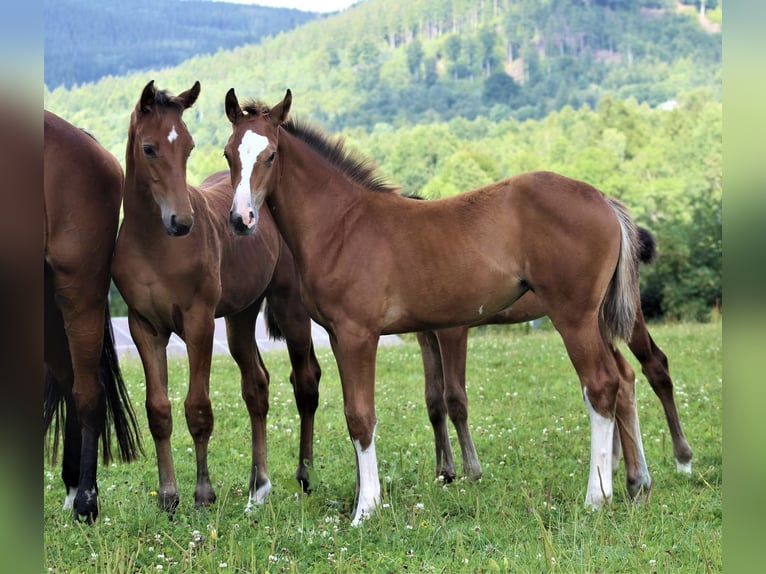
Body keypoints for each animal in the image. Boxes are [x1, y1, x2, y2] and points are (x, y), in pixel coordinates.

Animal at [111, 81, 321, 512]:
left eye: (189, 147)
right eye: (149, 148)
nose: (182, 221)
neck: (154, 245)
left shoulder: (199, 322)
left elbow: (198, 408)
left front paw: (203, 493)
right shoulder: (145, 327)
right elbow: (159, 410)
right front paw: (168, 495)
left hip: (290, 308)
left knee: (306, 382)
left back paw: (304, 473)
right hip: (241, 316)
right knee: (257, 386)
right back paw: (259, 485)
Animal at [224, 88, 652, 525]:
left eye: (271, 154)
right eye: (228, 155)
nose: (242, 219)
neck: (342, 226)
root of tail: (604, 199)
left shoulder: (359, 334)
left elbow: (362, 417)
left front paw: (366, 510)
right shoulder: (340, 336)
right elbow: (353, 414)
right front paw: (366, 498)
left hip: (574, 316)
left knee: (601, 385)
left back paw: (597, 497)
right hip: (597, 319)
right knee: (624, 379)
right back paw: (637, 484)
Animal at [418, 226, 693, 485]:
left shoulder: (453, 331)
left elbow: (454, 398)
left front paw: (470, 471)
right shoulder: (426, 335)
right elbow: (434, 401)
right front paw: (444, 472)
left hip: (624, 314)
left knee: (655, 365)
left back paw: (682, 459)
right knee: (620, 375)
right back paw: (615, 462)